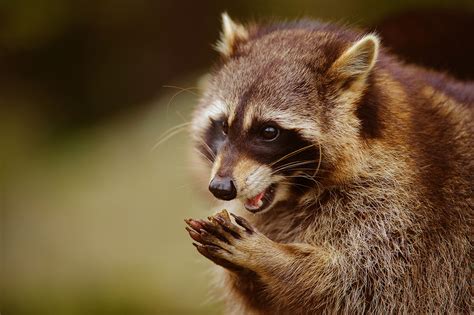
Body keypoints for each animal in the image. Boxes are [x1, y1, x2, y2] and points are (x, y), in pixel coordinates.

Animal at [184, 12, 470, 315]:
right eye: (224, 127)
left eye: (269, 132)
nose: (221, 188)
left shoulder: (403, 216)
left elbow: (353, 288)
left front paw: (268, 255)